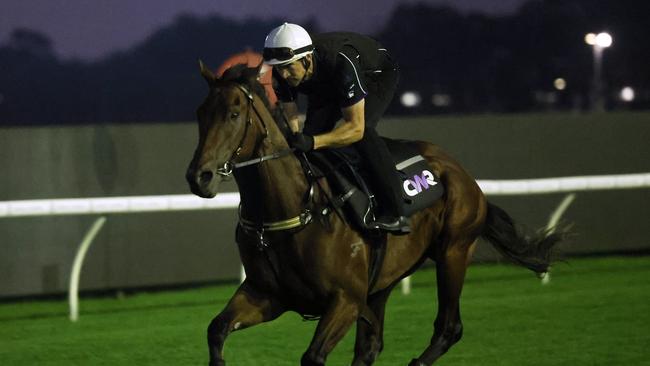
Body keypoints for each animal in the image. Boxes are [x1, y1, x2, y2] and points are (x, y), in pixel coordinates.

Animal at [185, 63, 560, 366]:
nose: (199, 176)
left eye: (233, 114)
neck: (294, 209)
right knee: (370, 346)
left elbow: (312, 357)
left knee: (448, 328)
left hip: (454, 251)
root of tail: (463, 174)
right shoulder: (267, 295)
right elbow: (216, 330)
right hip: (384, 282)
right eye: (201, 113)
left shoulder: (346, 300)